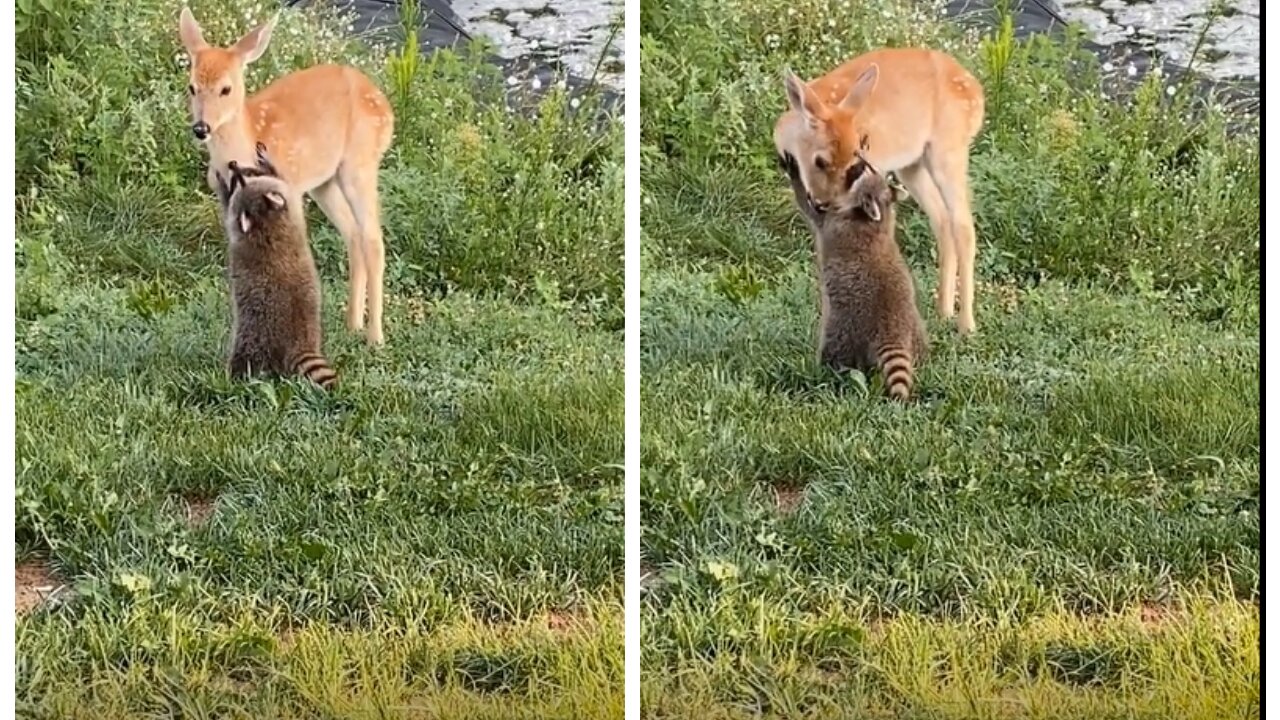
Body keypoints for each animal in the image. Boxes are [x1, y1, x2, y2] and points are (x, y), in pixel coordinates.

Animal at [215, 143, 337, 389]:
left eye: (241, 181)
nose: (232, 165)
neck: (268, 221)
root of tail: (300, 343)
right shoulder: (291, 208)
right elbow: (283, 180)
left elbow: (227, 210)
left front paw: (222, 186)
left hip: (254, 337)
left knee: (245, 357)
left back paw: (232, 378)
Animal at [778, 151, 931, 399]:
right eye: (868, 167)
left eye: (859, 171)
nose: (859, 156)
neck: (877, 215)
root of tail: (893, 330)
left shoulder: (833, 221)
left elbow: (808, 208)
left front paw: (795, 174)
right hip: (916, 326)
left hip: (845, 326)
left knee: (835, 351)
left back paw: (825, 370)